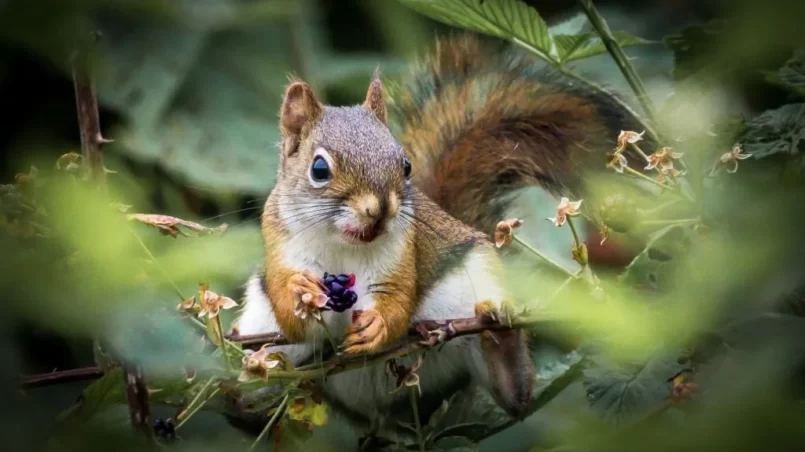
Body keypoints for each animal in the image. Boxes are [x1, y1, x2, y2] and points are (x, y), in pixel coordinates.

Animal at [232, 34, 640, 442]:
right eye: (319, 169)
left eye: (405, 164)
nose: (381, 208)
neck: (345, 244)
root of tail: (389, 417)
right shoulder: (279, 241)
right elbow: (291, 314)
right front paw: (298, 291)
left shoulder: (403, 253)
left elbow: (399, 301)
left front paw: (379, 325)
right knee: (248, 395)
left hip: (474, 287)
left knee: (515, 397)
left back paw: (500, 331)